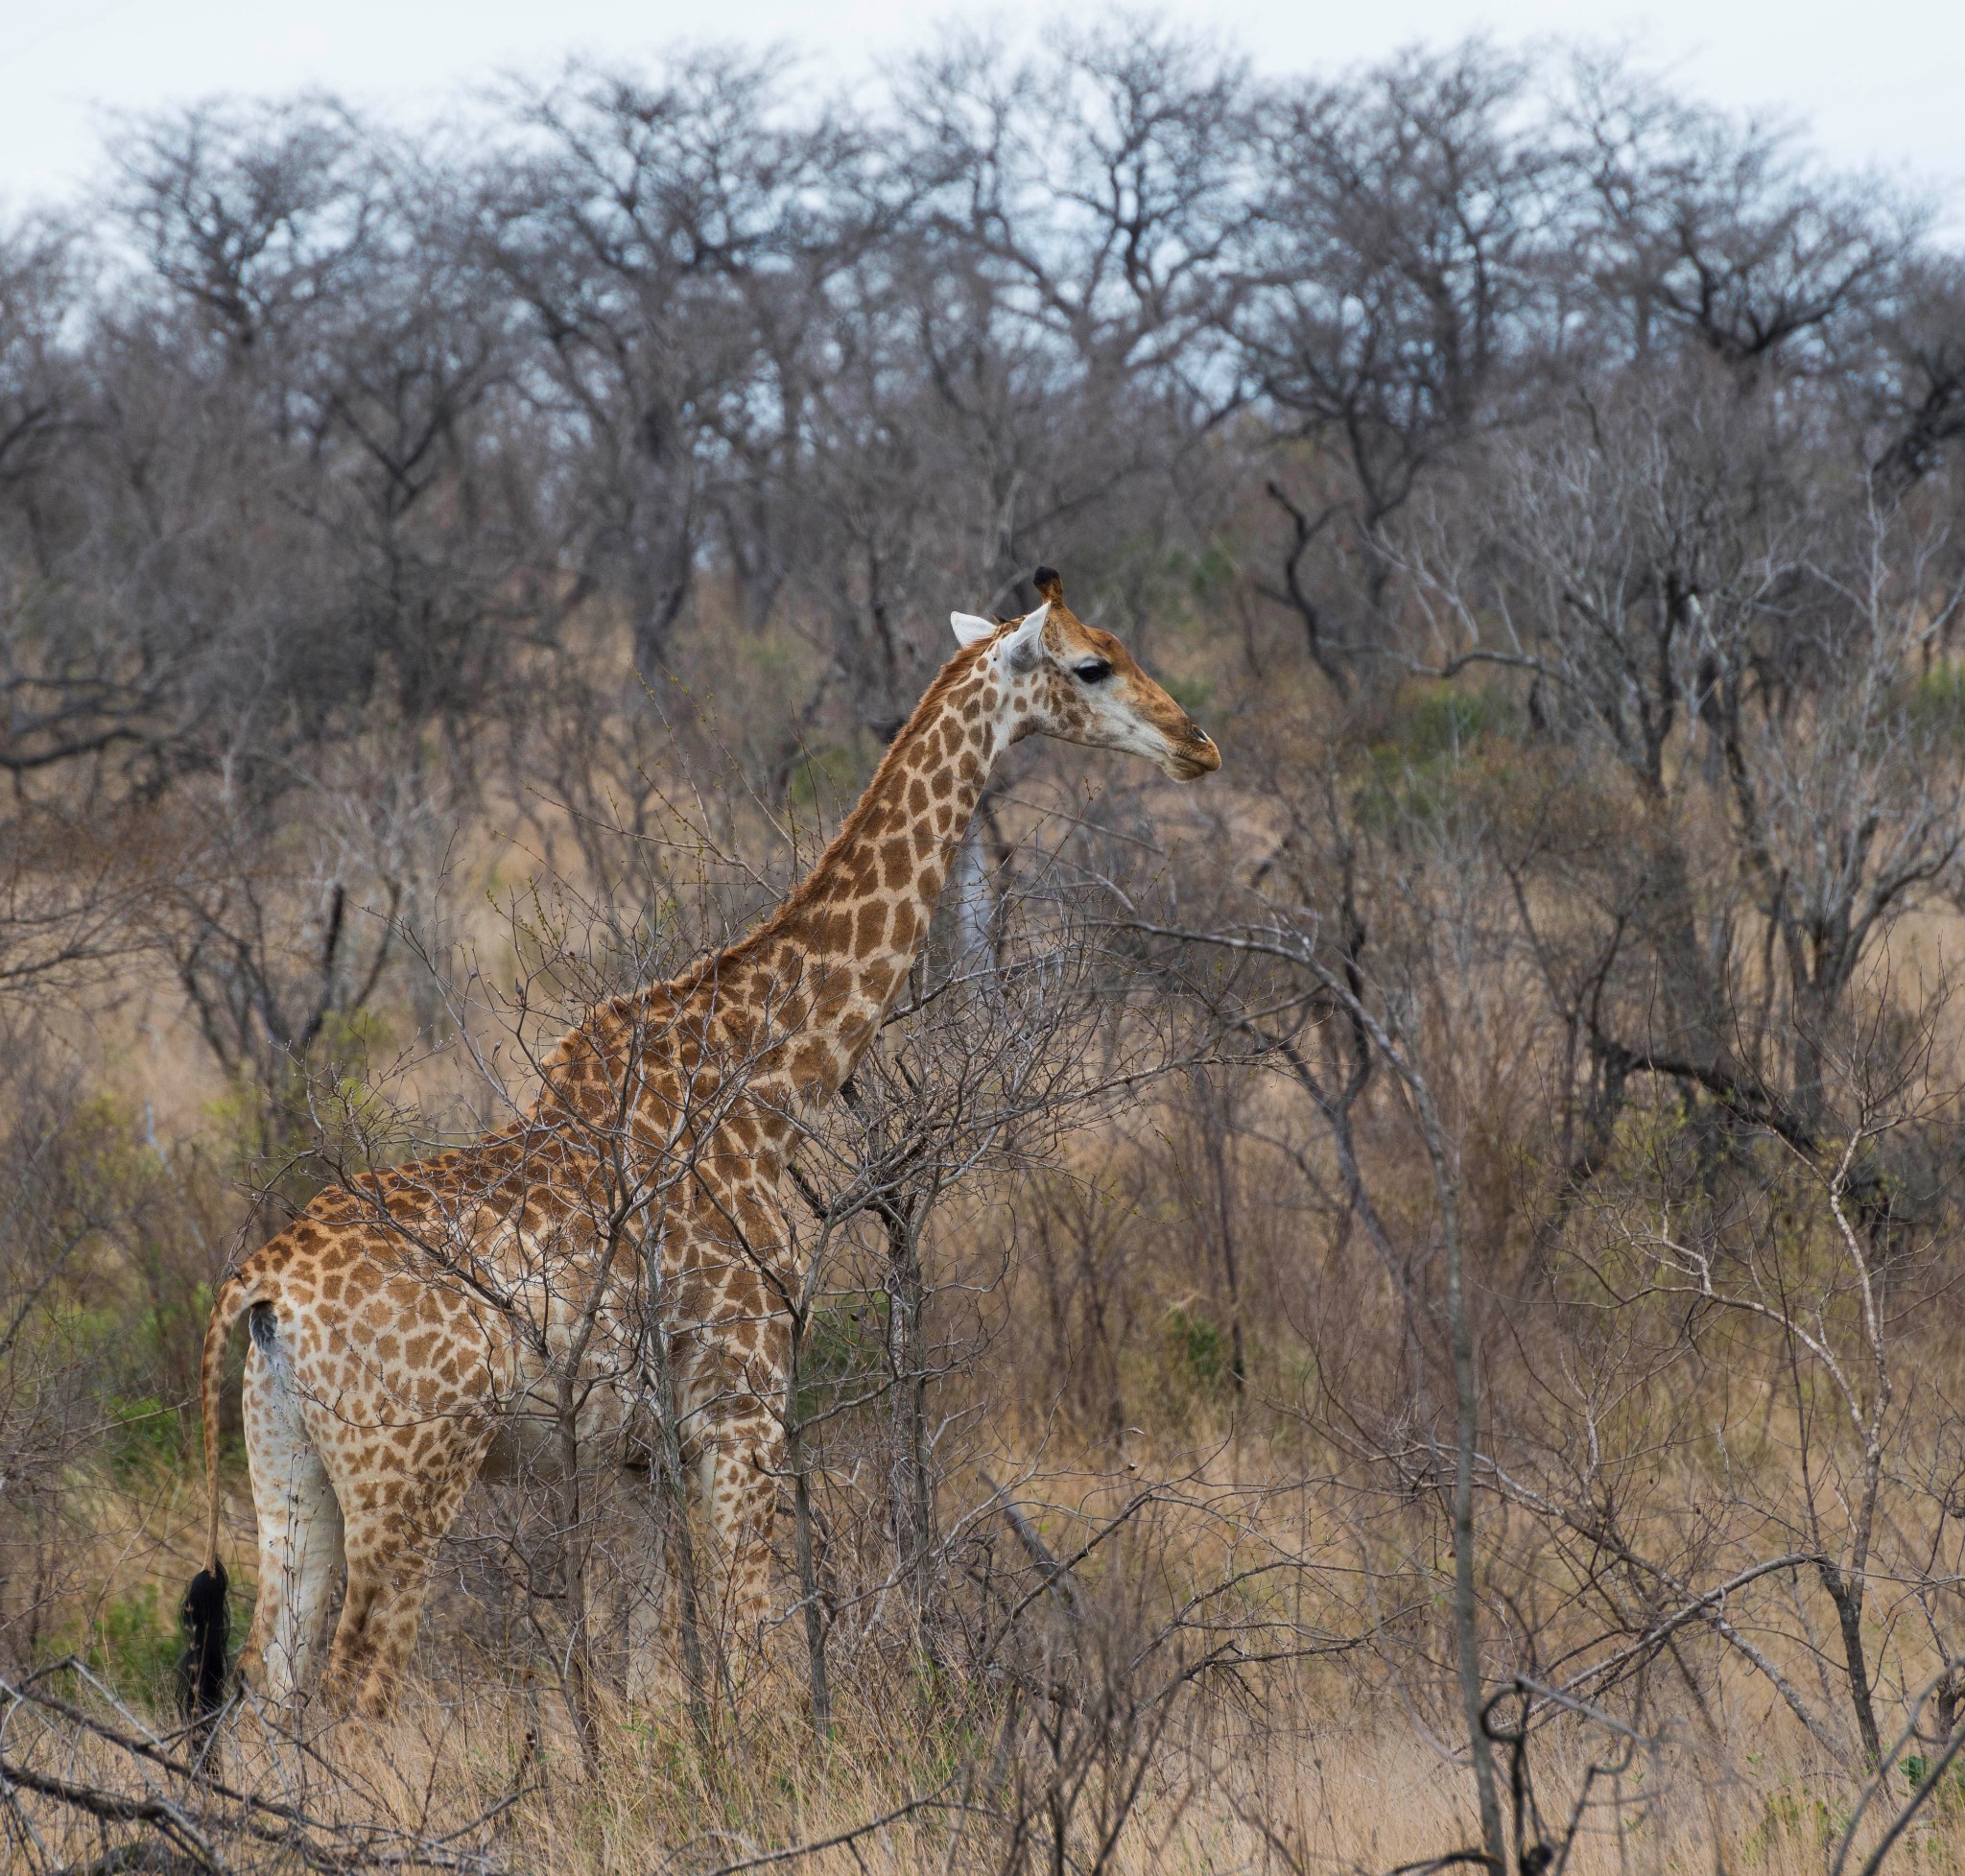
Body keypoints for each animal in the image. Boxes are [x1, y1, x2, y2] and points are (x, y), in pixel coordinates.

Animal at [187, 565, 1225, 1721]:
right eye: (1091, 663)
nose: (1198, 743)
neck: (766, 1080)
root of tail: (262, 1284)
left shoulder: (646, 1452)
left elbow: (652, 1667)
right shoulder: (743, 1402)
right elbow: (749, 1651)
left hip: (289, 1474)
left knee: (269, 1688)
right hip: (410, 1467)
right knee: (357, 1686)